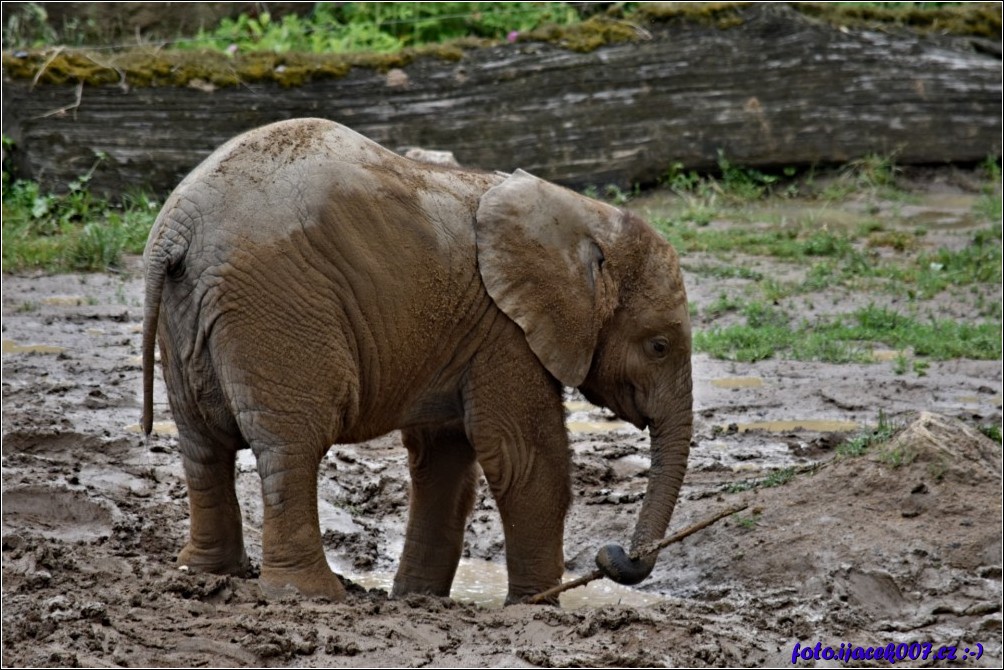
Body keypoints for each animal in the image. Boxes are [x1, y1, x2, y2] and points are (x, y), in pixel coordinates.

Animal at [143, 118, 690, 606]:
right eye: (659, 346)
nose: (613, 556)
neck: (583, 218)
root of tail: (177, 227)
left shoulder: (467, 335)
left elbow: (443, 458)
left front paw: (418, 598)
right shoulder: (506, 333)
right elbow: (525, 460)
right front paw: (536, 607)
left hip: (185, 318)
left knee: (202, 445)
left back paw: (209, 574)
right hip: (275, 306)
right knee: (291, 448)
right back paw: (311, 595)